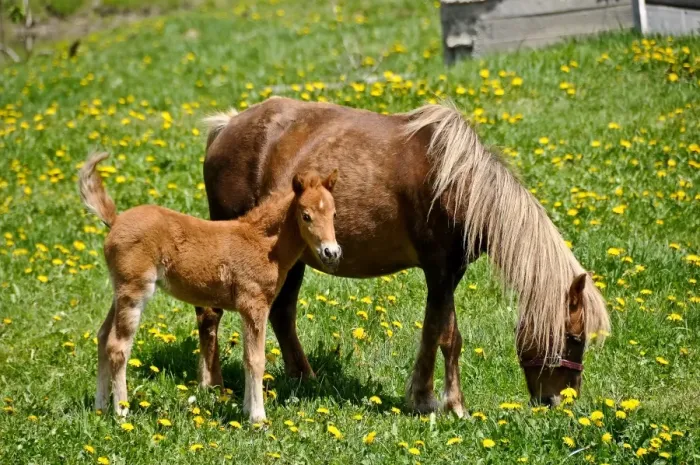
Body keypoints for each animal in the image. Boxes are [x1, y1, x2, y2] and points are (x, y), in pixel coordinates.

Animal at [79, 152, 340, 422]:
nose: (331, 252)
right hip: (135, 291)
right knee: (117, 346)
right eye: (306, 215)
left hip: (119, 291)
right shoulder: (254, 305)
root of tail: (115, 221)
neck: (263, 243)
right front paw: (258, 418)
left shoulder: (249, 310)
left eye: (333, 215)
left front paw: (246, 410)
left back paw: (100, 407)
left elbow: (247, 358)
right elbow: (256, 360)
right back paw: (121, 412)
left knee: (102, 336)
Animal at [197, 97, 610, 414]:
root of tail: (227, 127)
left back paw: (306, 379)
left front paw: (427, 398)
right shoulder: (440, 270)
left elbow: (438, 333)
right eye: (574, 338)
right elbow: (446, 336)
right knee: (211, 312)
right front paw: (446, 403)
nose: (560, 401)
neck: (459, 185)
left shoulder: (448, 273)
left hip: (291, 258)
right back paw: (212, 383)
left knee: (282, 315)